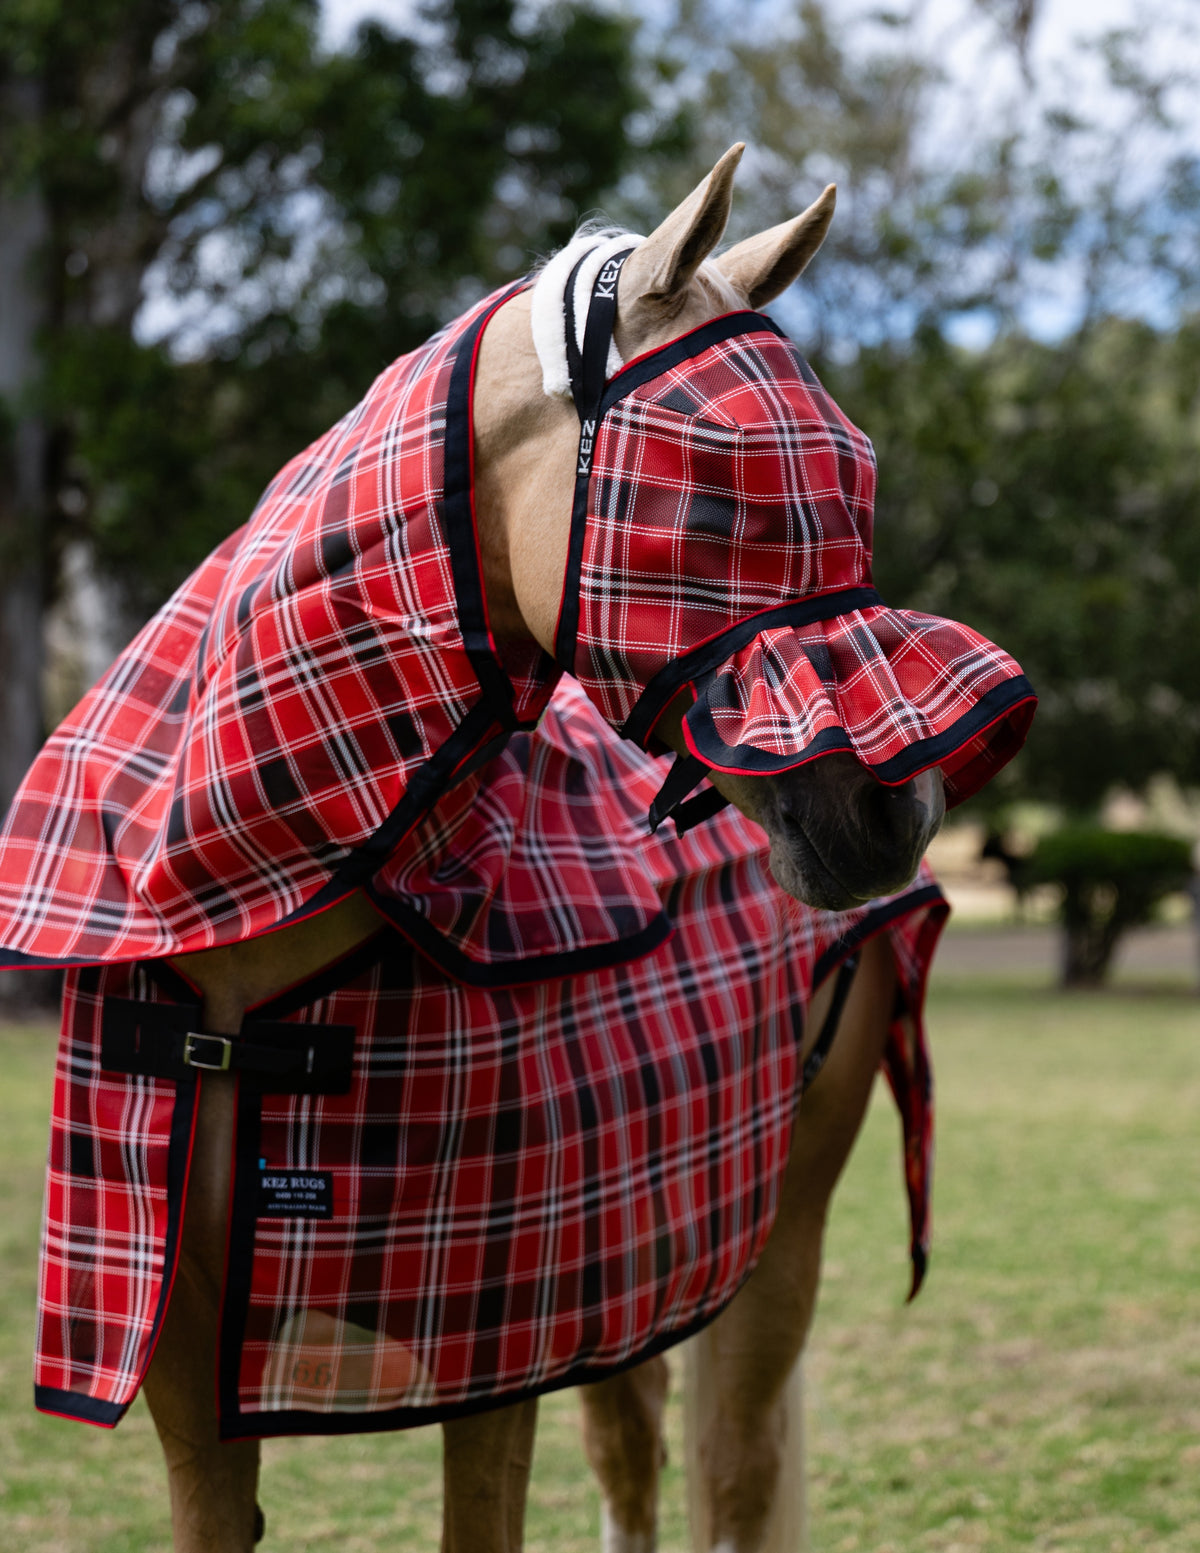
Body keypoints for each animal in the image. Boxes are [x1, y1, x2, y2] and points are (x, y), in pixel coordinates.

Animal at [2, 143, 1033, 1551]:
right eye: (715, 487)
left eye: (857, 468)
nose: (896, 812)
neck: (240, 952)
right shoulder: (182, 1386)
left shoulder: (492, 1364)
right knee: (635, 1466)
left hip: (771, 1252)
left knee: (732, 1475)